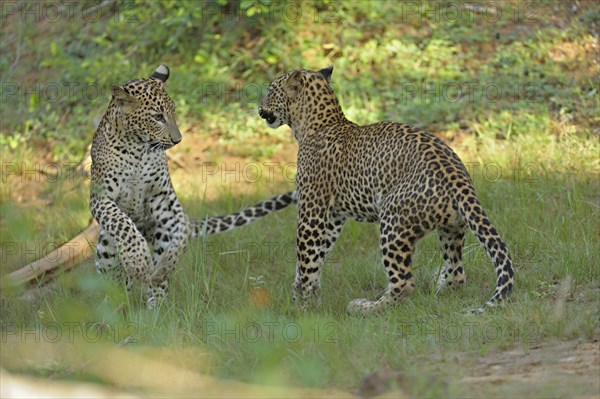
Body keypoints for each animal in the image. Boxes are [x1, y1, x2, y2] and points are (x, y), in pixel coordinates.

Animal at [90, 66, 294, 310]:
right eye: (157, 117)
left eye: (173, 112)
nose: (177, 140)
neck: (137, 148)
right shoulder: (101, 198)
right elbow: (123, 225)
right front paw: (139, 260)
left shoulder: (164, 198)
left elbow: (180, 235)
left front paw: (167, 263)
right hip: (106, 246)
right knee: (114, 273)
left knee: (157, 276)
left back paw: (156, 308)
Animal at [256, 66, 510, 316]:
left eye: (270, 91)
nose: (259, 107)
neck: (317, 123)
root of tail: (458, 177)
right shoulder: (334, 217)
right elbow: (317, 255)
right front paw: (306, 295)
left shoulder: (313, 210)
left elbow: (306, 258)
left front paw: (303, 307)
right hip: (452, 228)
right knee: (457, 274)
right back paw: (436, 293)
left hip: (393, 221)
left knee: (404, 283)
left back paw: (364, 307)